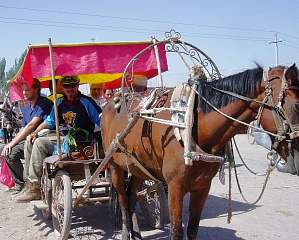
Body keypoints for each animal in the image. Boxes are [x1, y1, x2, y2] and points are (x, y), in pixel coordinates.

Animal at [101, 64, 299, 240]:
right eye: (297, 106)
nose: (296, 158)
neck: (192, 127)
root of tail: (109, 105)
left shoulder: (202, 186)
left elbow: (192, 229)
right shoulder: (175, 187)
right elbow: (176, 231)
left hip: (138, 169)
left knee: (131, 197)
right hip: (114, 166)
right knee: (123, 200)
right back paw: (126, 232)